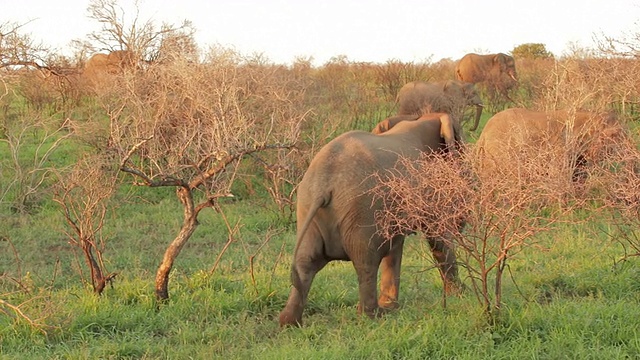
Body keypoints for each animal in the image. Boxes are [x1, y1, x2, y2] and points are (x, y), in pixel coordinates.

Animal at [278, 112, 462, 326]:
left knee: (305, 263)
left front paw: (392, 306)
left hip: (308, 210)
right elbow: (436, 236)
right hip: (362, 211)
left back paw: (289, 322)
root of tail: (323, 184)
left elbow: (395, 245)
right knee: (366, 262)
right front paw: (460, 296)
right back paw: (372, 316)